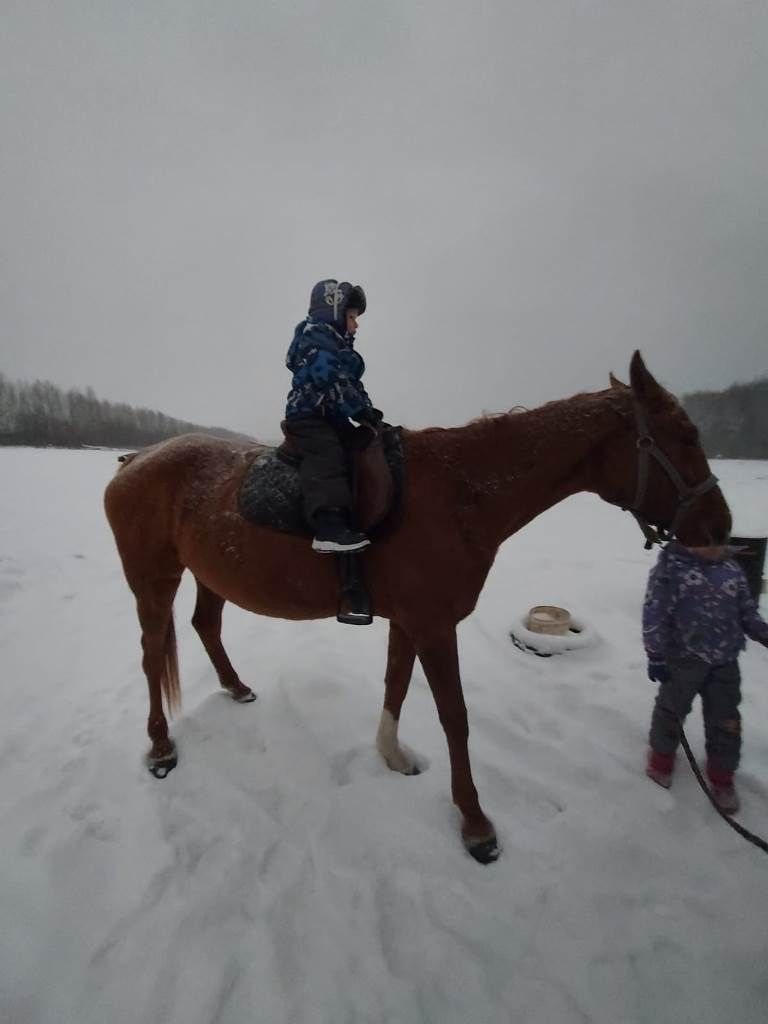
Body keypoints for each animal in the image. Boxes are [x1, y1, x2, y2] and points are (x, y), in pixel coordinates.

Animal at [105, 354, 729, 864]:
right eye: (685, 433)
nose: (720, 528)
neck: (462, 493)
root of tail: (134, 460)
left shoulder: (409, 621)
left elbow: (397, 685)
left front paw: (393, 756)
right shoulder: (433, 625)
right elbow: (455, 717)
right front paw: (475, 824)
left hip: (209, 574)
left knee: (205, 626)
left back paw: (235, 688)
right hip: (153, 580)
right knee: (151, 654)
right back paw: (160, 747)